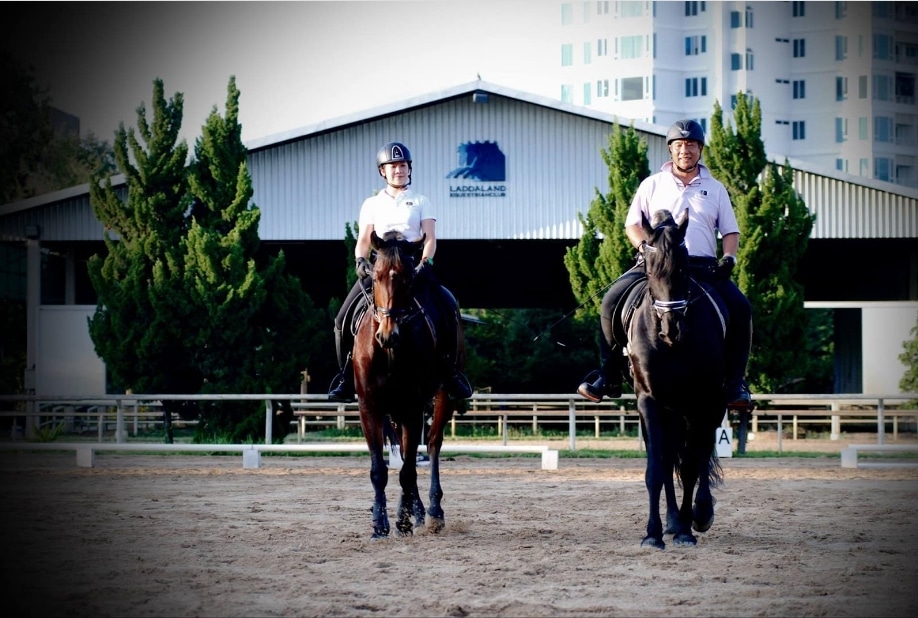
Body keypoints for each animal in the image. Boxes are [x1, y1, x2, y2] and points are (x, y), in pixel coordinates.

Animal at [352, 229, 456, 536]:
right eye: (375, 277)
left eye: (408, 280)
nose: (388, 335)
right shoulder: (369, 406)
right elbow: (380, 469)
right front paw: (380, 524)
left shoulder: (412, 406)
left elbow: (408, 470)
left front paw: (402, 521)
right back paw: (417, 511)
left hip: (442, 396)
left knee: (432, 445)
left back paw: (432, 512)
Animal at [628, 208, 728, 548]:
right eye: (649, 269)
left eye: (683, 269)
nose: (671, 328)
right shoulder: (650, 402)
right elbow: (657, 470)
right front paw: (653, 534)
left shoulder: (702, 402)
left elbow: (691, 468)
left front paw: (686, 530)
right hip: (669, 412)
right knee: (671, 457)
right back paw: (671, 521)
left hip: (708, 408)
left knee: (699, 455)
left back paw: (700, 514)